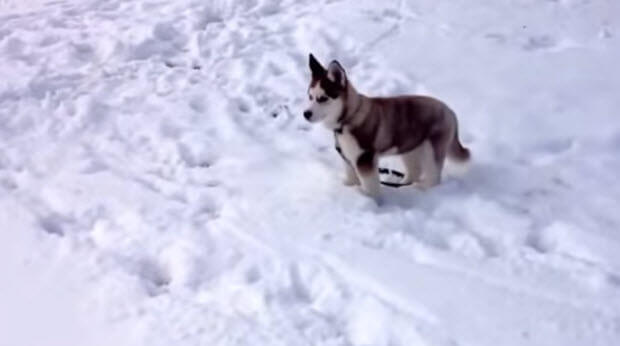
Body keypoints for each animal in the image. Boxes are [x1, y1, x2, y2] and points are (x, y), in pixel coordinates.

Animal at [302, 54, 470, 200]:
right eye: (310, 96)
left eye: (323, 98)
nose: (305, 114)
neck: (349, 117)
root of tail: (450, 112)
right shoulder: (348, 158)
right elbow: (351, 178)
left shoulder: (364, 160)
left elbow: (370, 188)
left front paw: (372, 202)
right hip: (410, 146)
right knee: (415, 171)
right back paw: (404, 186)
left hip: (432, 149)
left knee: (433, 175)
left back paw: (424, 191)